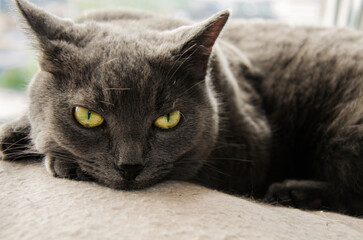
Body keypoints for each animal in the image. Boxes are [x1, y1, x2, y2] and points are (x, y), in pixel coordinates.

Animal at [0, 0, 363, 217]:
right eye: (87, 116)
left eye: (168, 120)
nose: (129, 166)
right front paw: (14, 133)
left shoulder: (247, 150)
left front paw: (62, 162)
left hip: (345, 130)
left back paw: (293, 194)